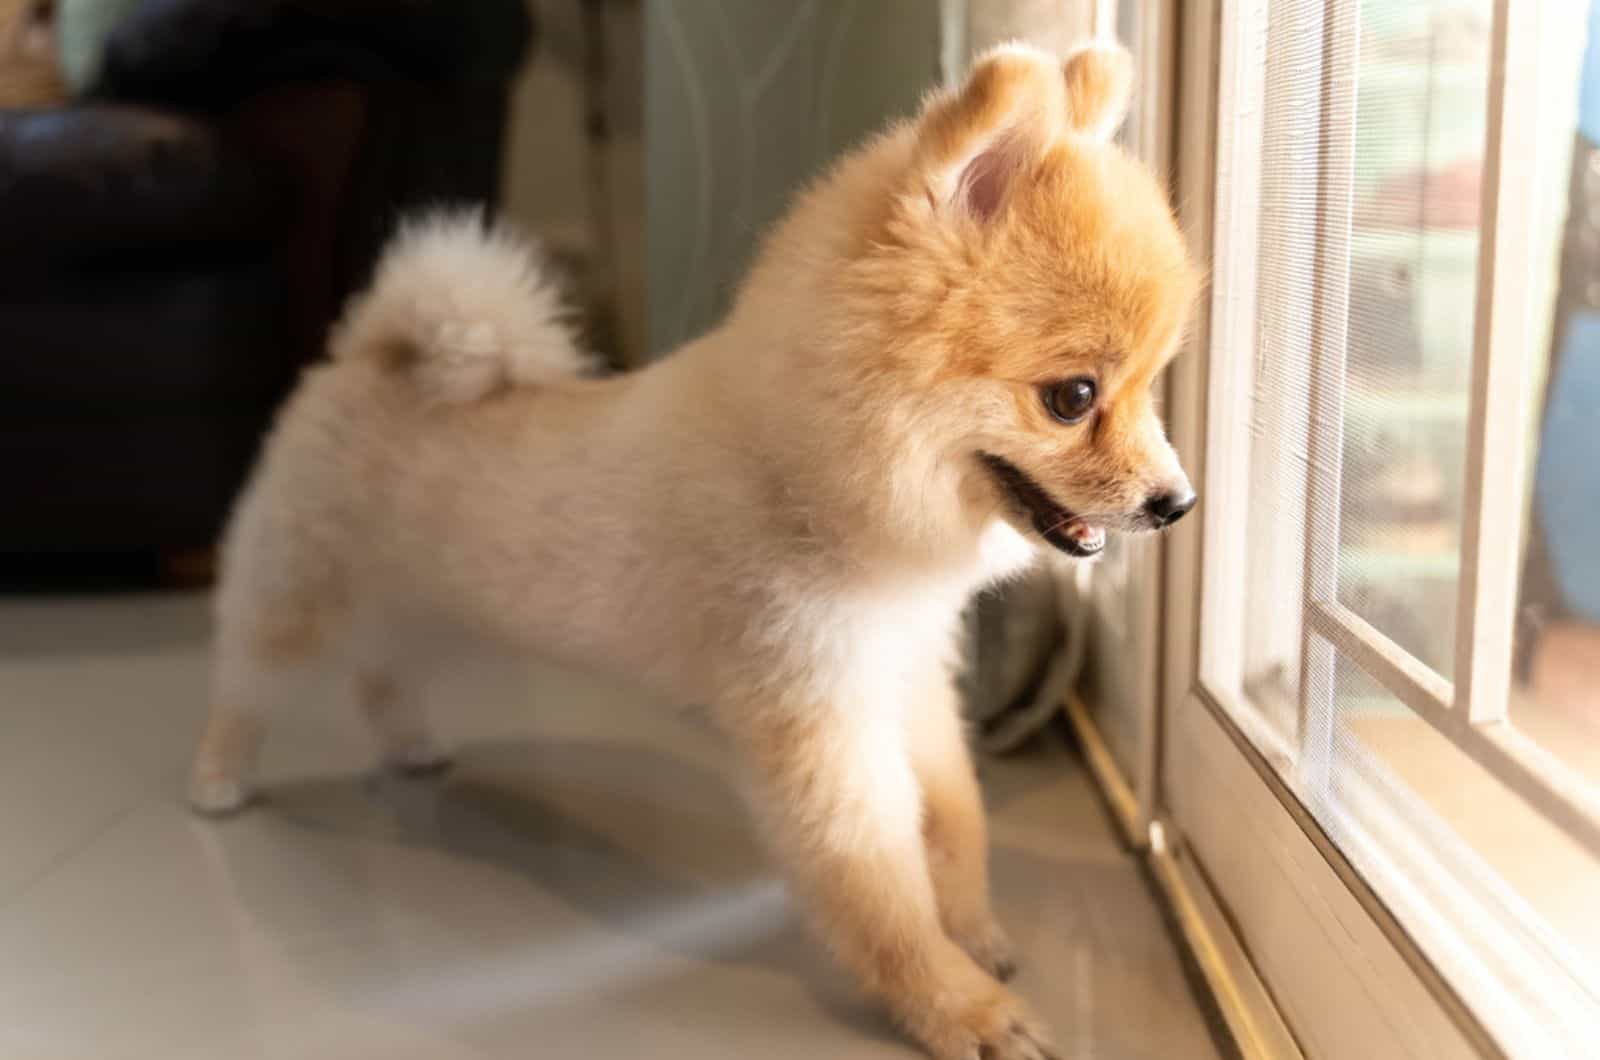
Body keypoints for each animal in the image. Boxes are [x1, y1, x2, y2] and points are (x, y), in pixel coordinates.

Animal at [187, 43, 1196, 1060]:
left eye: (1153, 388)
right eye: (1072, 397)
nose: (1178, 502)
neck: (804, 476)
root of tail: (374, 350)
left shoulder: (908, 674)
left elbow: (954, 817)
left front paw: (973, 930)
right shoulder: (817, 717)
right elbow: (879, 887)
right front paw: (957, 1006)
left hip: (434, 606)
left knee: (383, 672)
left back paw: (412, 746)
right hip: (299, 595)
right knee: (244, 684)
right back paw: (218, 782)